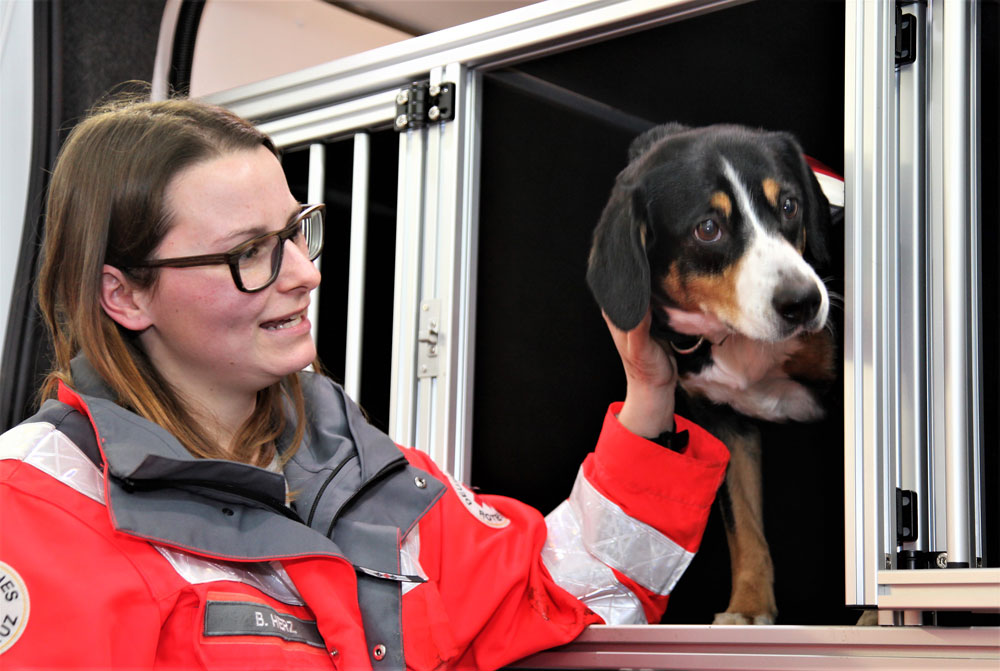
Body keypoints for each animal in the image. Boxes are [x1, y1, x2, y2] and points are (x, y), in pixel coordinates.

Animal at [584, 122, 836, 624]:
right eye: (708, 228)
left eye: (788, 205)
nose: (803, 302)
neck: (739, 340)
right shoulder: (725, 425)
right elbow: (745, 527)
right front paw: (749, 607)